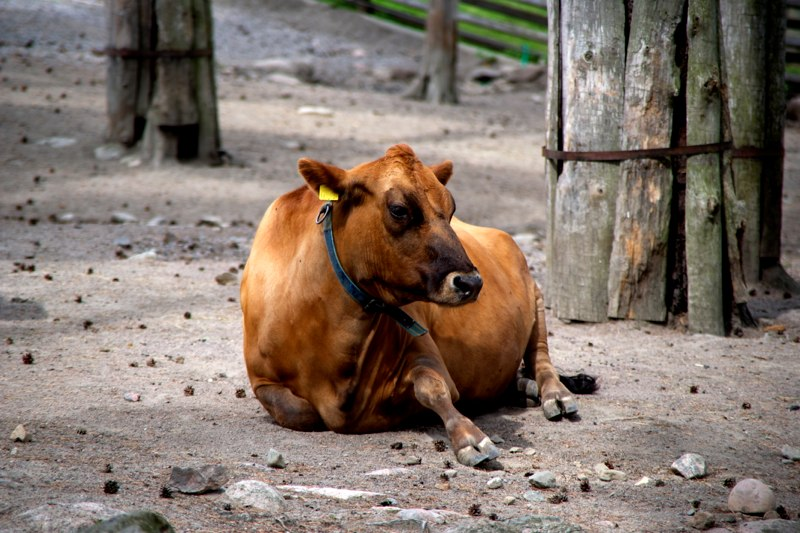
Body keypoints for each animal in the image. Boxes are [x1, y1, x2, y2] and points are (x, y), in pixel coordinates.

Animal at [241, 144, 594, 467]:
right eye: (399, 209)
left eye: (451, 208)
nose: (471, 282)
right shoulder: (261, 380)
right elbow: (301, 411)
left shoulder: (427, 354)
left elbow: (433, 388)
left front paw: (471, 438)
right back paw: (523, 387)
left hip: (537, 300)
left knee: (541, 357)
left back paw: (555, 394)